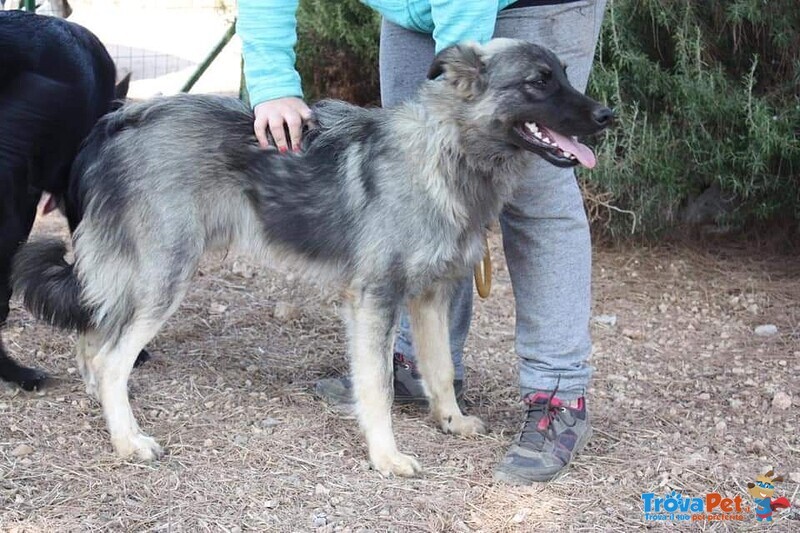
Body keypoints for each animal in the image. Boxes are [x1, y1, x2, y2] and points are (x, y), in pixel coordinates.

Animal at [12, 39, 608, 476]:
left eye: (564, 73)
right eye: (538, 81)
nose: (607, 115)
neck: (444, 152)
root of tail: (117, 123)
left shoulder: (430, 297)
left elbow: (439, 368)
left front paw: (451, 420)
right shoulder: (375, 300)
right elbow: (378, 388)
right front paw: (386, 456)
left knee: (95, 340)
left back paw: (107, 409)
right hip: (164, 278)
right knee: (112, 356)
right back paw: (128, 440)